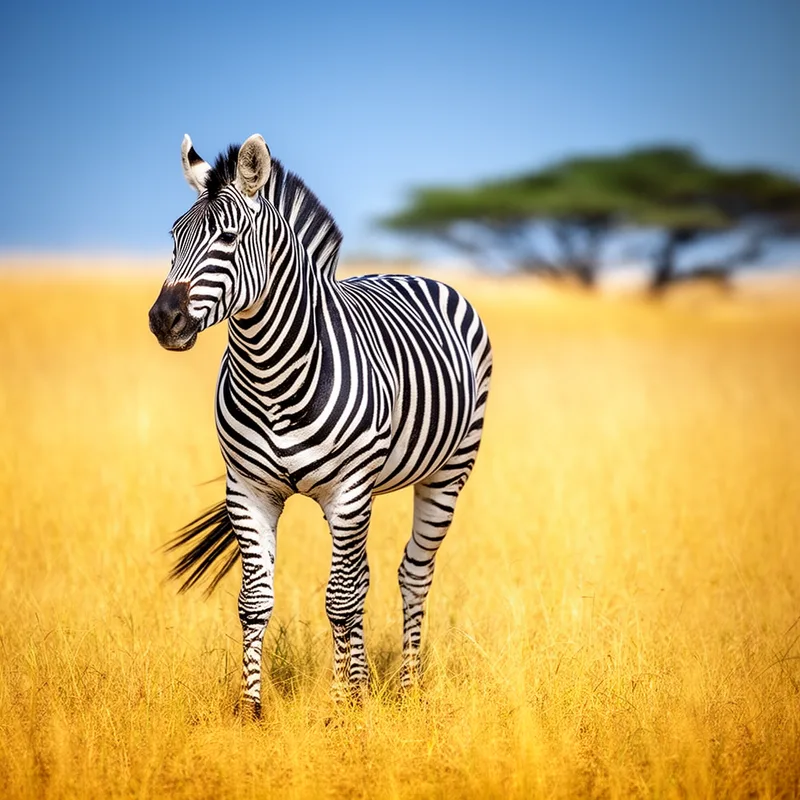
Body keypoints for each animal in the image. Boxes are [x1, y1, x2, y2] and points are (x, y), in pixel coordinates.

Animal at [148, 134, 492, 717]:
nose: (162, 321)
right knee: (363, 578)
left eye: (229, 237)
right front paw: (252, 709)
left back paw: (406, 688)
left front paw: (339, 707)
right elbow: (255, 602)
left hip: (447, 473)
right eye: (174, 237)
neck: (272, 376)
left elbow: (338, 601)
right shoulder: (248, 491)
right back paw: (365, 685)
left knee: (410, 574)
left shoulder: (348, 490)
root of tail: (416, 273)